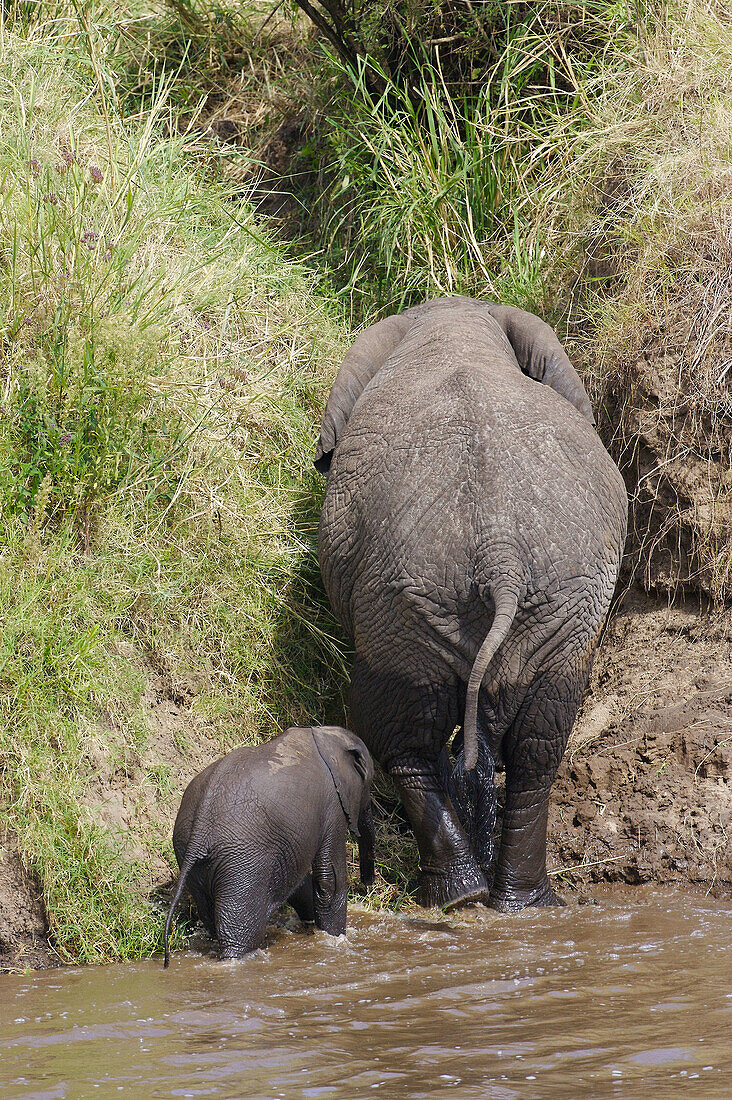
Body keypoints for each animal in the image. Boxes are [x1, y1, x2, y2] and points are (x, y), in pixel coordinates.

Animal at [162, 726, 374, 968]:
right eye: (369, 785)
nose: (368, 883)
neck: (325, 734)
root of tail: (200, 827)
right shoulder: (333, 806)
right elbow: (330, 880)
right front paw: (336, 939)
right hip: (241, 862)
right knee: (240, 931)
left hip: (191, 856)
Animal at [310, 297, 625, 915]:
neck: (455, 321)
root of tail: (498, 555)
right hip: (550, 608)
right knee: (536, 745)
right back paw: (517, 901)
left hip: (404, 610)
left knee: (399, 738)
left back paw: (458, 896)